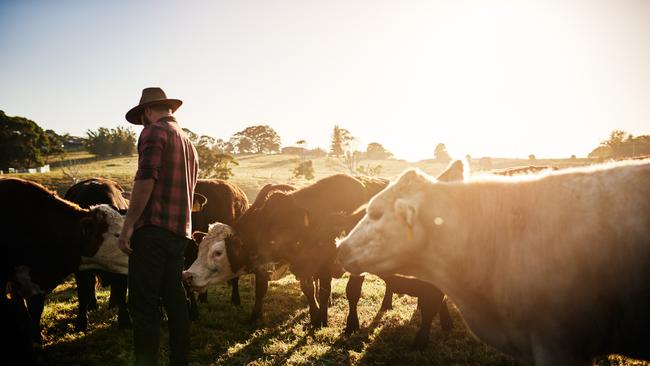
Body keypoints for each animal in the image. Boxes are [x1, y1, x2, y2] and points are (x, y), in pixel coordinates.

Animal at [65, 177, 132, 332]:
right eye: (116, 234)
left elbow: (121, 291)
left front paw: (125, 321)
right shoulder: (80, 269)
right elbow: (83, 293)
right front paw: (81, 323)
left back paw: (112, 303)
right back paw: (93, 304)